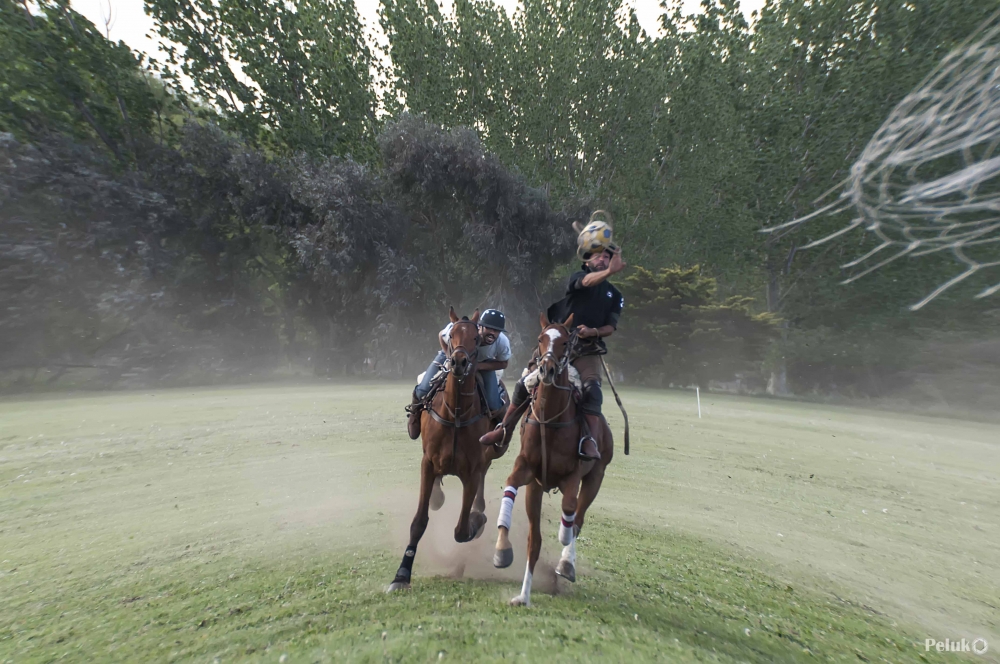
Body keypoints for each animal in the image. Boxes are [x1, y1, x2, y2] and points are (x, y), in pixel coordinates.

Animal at [384, 306, 508, 592]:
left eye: (477, 339)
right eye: (451, 335)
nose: (458, 362)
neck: (457, 411)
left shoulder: (472, 470)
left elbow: (462, 530)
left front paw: (477, 521)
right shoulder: (428, 463)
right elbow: (419, 522)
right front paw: (401, 575)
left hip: (492, 453)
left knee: (483, 479)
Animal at [490, 312, 612, 608]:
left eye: (566, 341)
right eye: (540, 339)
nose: (546, 370)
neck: (550, 419)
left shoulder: (572, 477)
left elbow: (570, 510)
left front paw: (564, 540)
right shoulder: (529, 474)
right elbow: (529, 534)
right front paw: (505, 558)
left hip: (596, 476)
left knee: (579, 516)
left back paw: (567, 562)